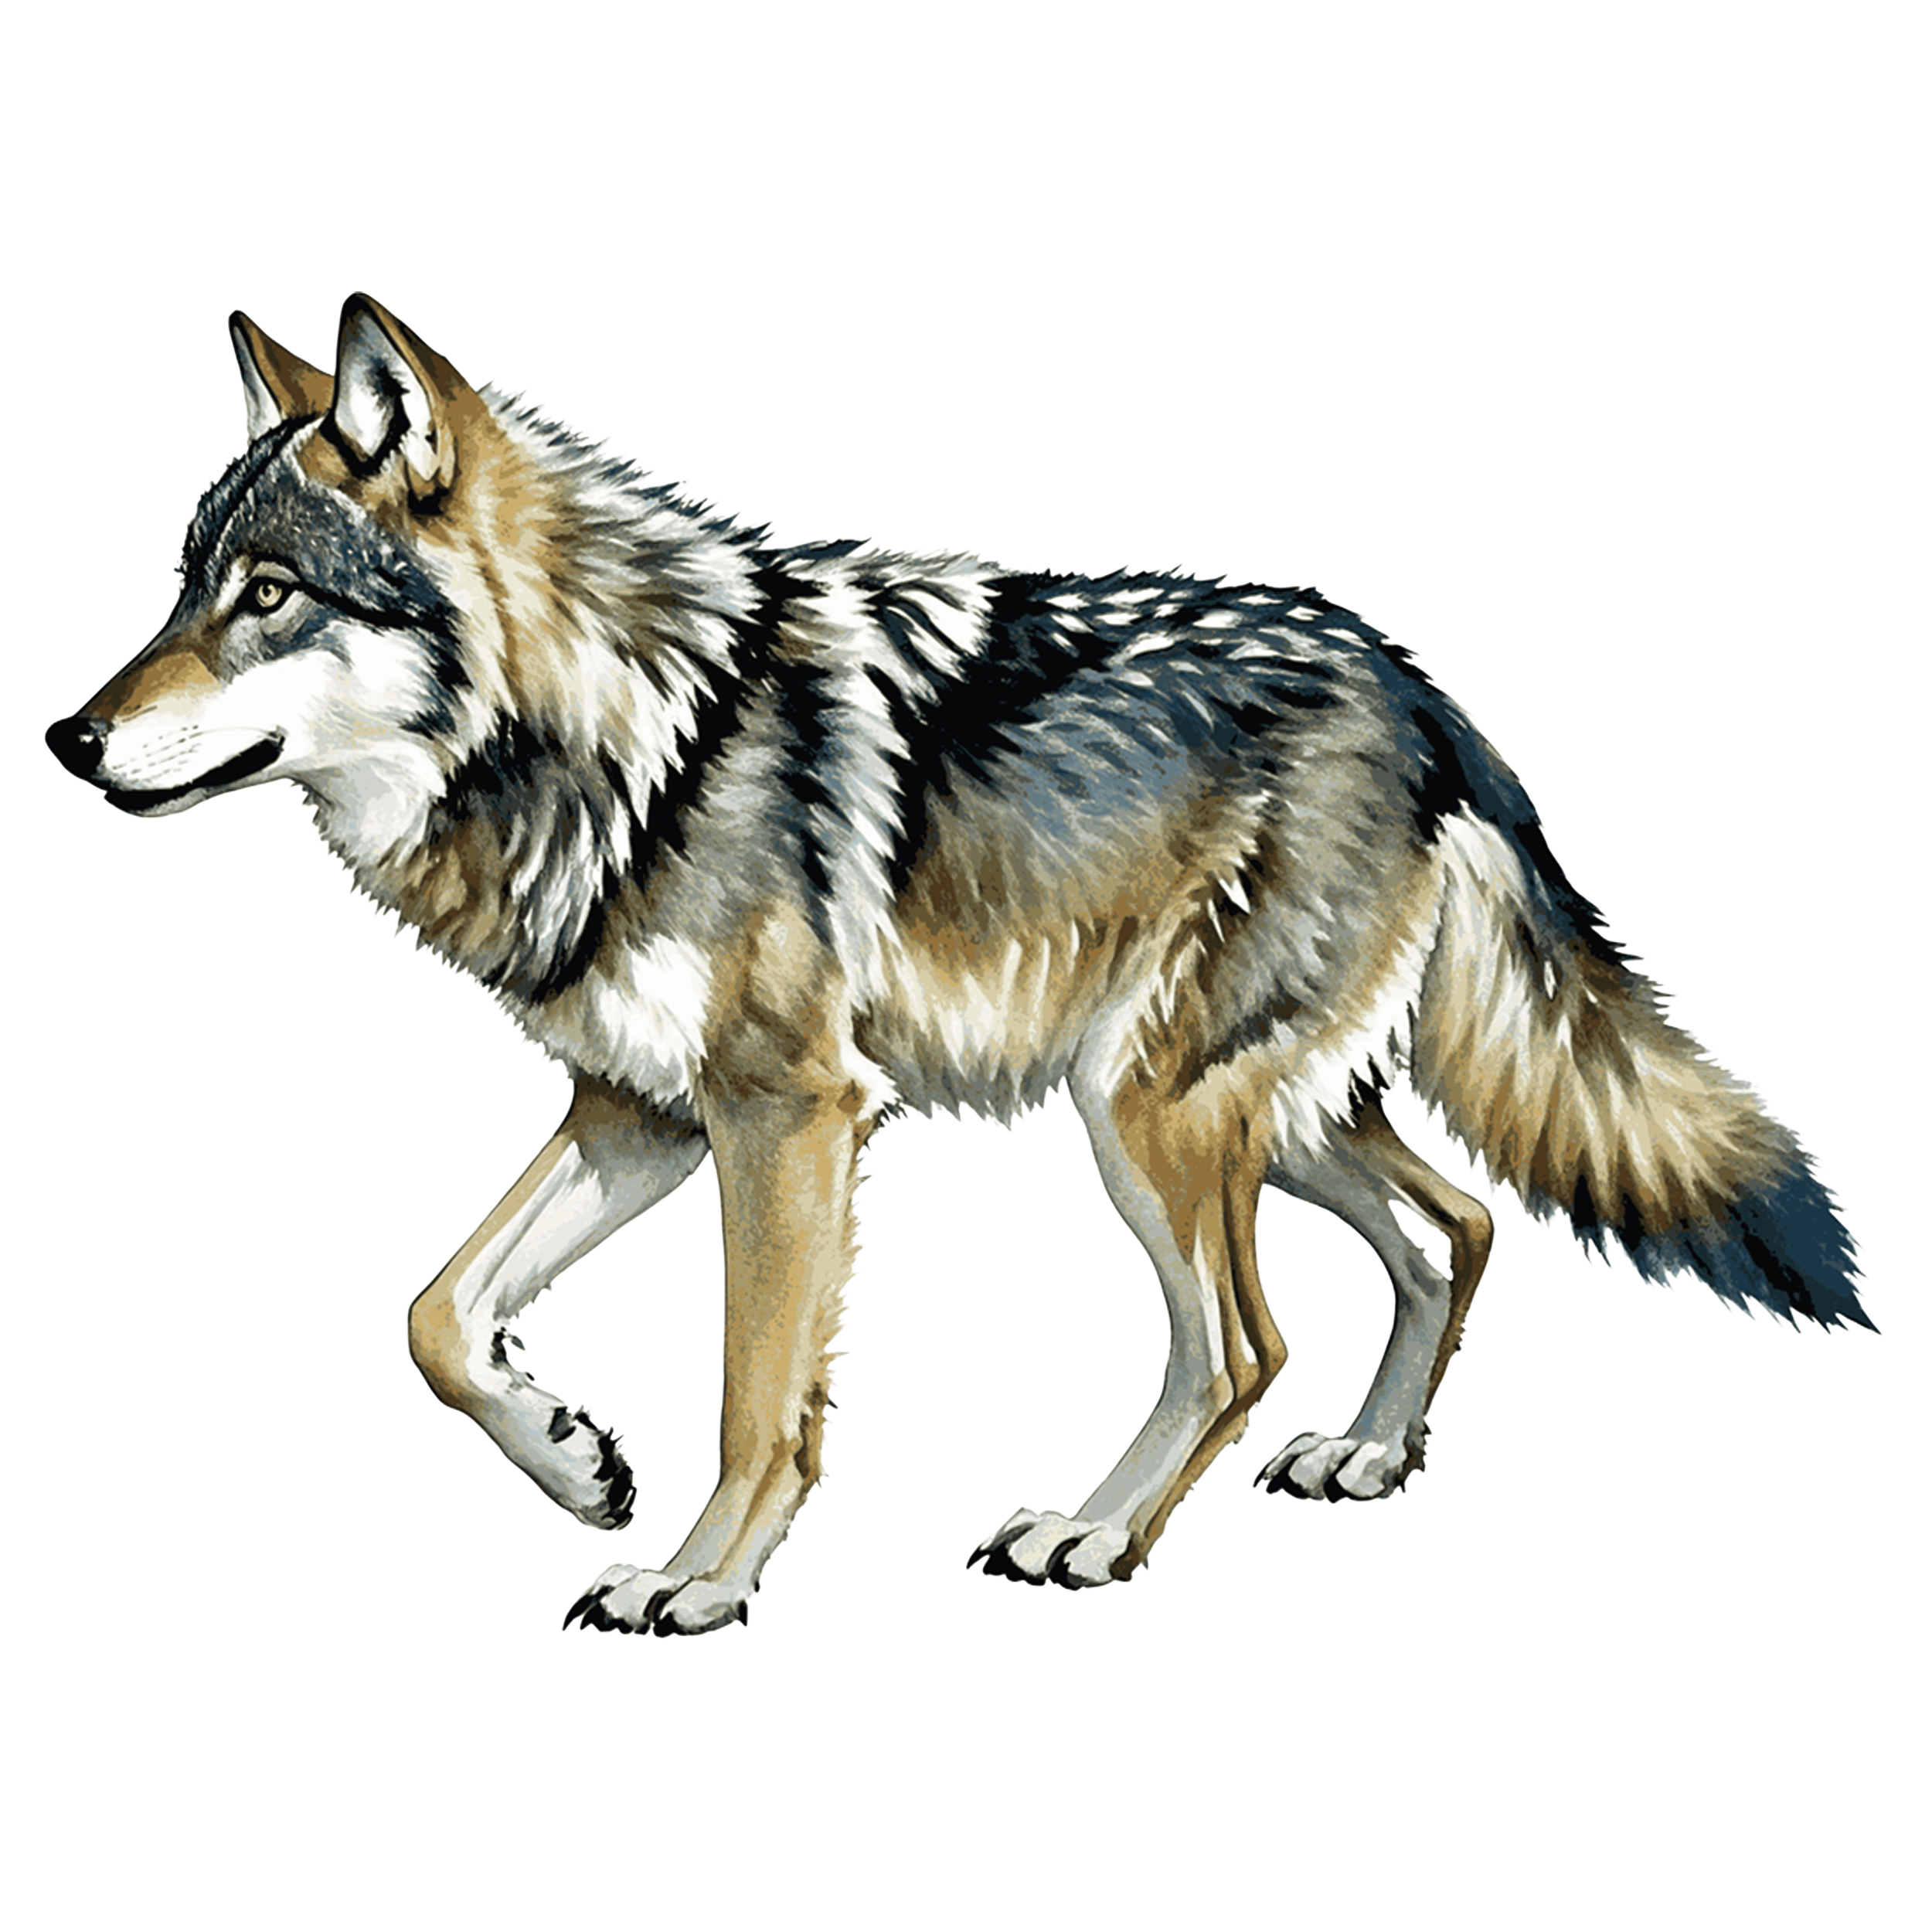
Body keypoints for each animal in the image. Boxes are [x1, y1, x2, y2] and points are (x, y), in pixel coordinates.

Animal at [45, 296, 1864, 1635]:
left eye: (267, 595)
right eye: (182, 591)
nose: (68, 738)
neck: (629, 739)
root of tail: (1415, 686)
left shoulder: (785, 1113)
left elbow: (755, 1392)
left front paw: (696, 1582)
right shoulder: (640, 1111)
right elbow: (435, 1313)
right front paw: (573, 1456)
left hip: (1147, 1117)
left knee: (1241, 1341)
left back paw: (1094, 1537)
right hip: (1248, 1116)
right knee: (1456, 1225)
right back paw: (1363, 1455)